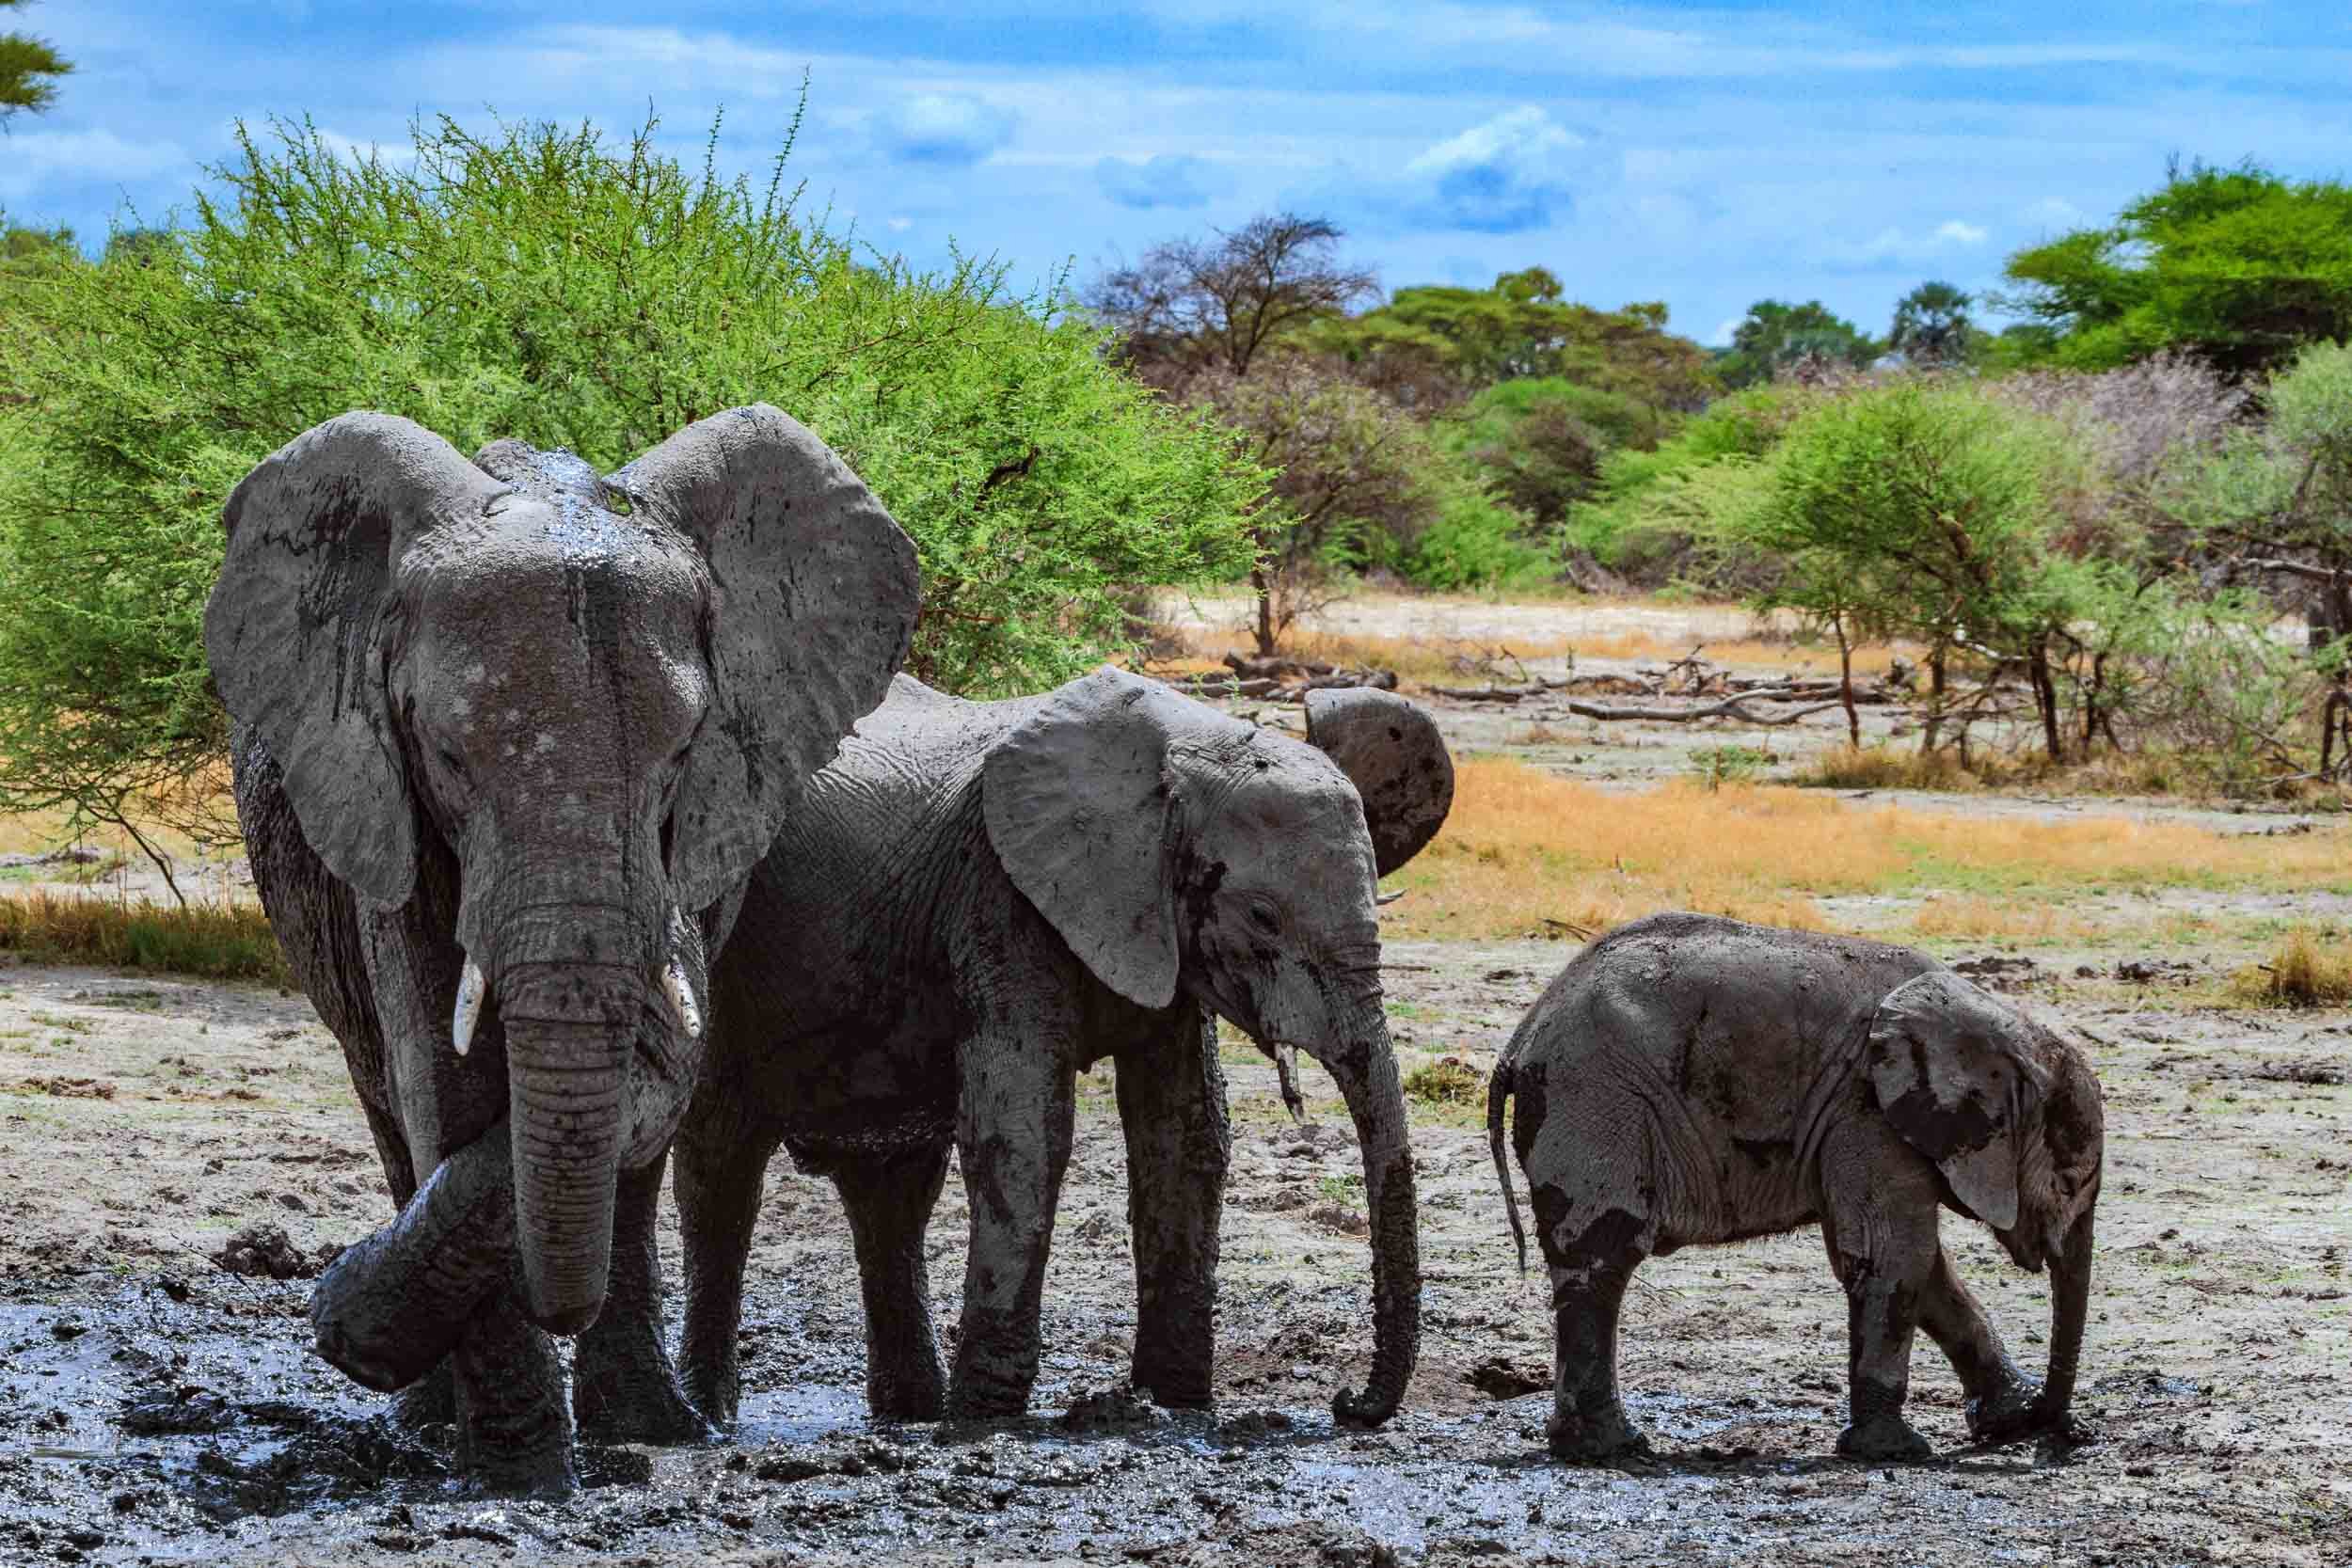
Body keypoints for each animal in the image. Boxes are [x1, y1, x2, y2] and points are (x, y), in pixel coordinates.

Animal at [204, 405, 918, 1492]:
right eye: (444, 754)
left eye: (683, 753)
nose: (321, 1311)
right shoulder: (387, 809)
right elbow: (445, 1082)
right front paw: (518, 1476)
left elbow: (649, 1070)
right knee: (388, 1102)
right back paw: (428, 1421)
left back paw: (645, 1426)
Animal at [655, 668, 1454, 1430]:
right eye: (1261, 917)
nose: (1347, 1402)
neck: (1185, 750)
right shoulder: (1002, 895)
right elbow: (1024, 1131)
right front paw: (987, 1415)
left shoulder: (1154, 930)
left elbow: (1184, 1132)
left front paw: (1176, 1402)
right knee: (721, 1166)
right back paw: (714, 1414)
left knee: (890, 1192)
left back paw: (907, 1414)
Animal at [1486, 913, 2104, 1463]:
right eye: (2069, 1181)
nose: (2061, 1432)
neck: (1999, 1026)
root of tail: (1519, 1041)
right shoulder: (1866, 1110)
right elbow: (1893, 1255)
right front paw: (1897, 1452)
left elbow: (1923, 1270)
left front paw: (2010, 1422)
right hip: (1595, 1101)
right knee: (1603, 1254)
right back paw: (1614, 1450)